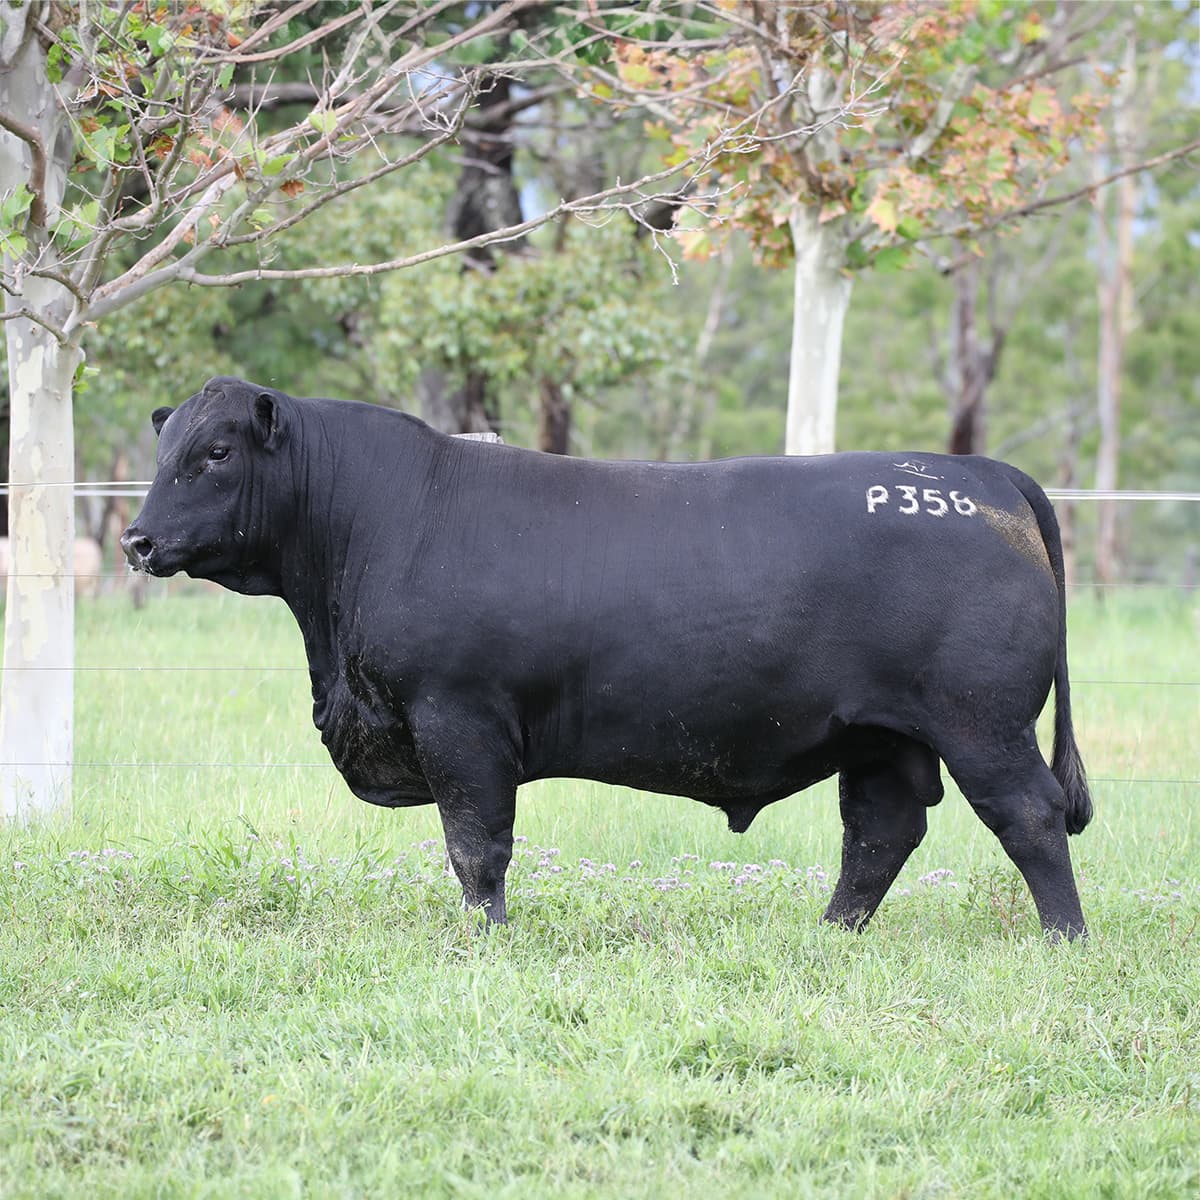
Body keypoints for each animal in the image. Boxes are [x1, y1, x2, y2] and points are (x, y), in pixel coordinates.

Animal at [122, 377, 1092, 938]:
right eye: (163, 452)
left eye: (214, 453)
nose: (136, 540)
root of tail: (980, 475)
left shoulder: (458, 717)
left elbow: (476, 847)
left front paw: (485, 942)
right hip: (883, 735)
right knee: (881, 833)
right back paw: (828, 935)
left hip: (980, 723)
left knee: (1029, 816)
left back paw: (1065, 939)